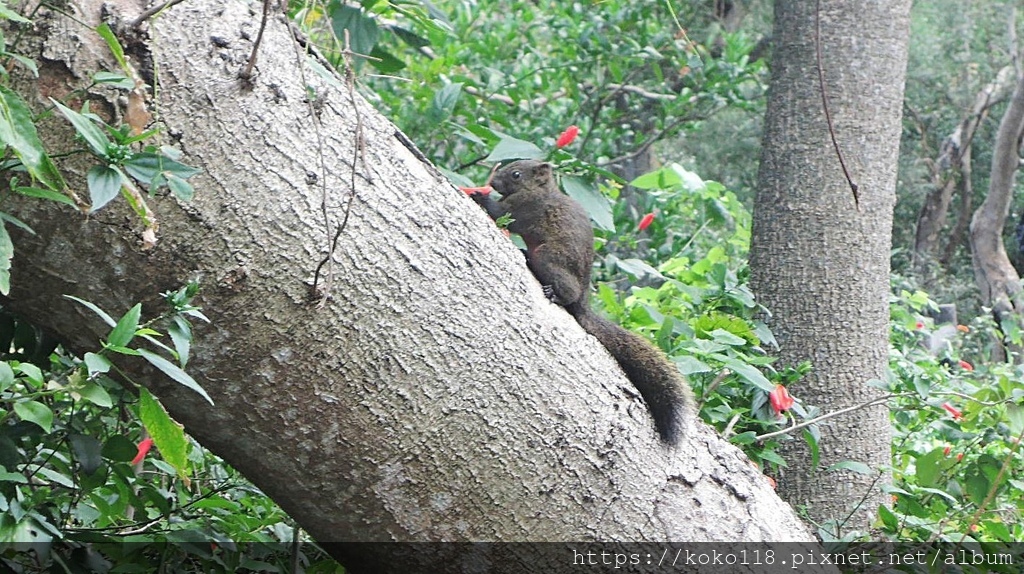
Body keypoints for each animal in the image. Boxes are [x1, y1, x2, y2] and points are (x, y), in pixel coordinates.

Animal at [466, 158, 692, 446]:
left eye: (516, 174)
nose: (493, 181)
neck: (541, 190)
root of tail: (583, 302)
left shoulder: (525, 208)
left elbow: (501, 212)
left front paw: (480, 196)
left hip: (549, 258)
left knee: (566, 293)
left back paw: (554, 292)